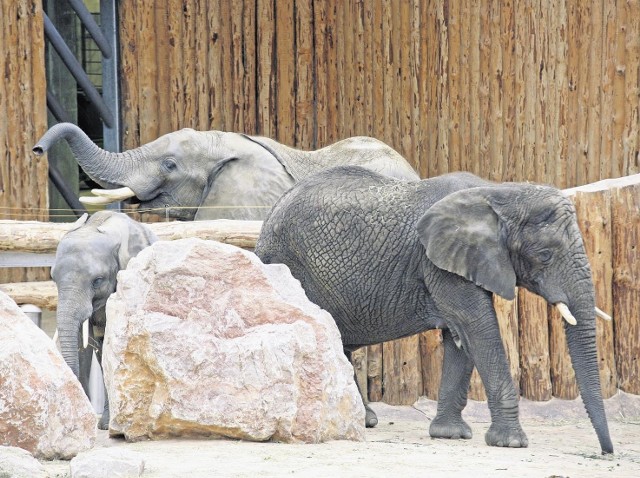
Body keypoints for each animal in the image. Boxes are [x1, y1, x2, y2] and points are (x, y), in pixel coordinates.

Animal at [255, 166, 616, 454]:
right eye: (544, 255)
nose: (606, 453)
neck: (498, 192)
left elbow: (460, 337)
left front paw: (450, 434)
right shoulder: (437, 263)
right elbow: (478, 327)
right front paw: (511, 442)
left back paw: (365, 419)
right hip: (288, 262)